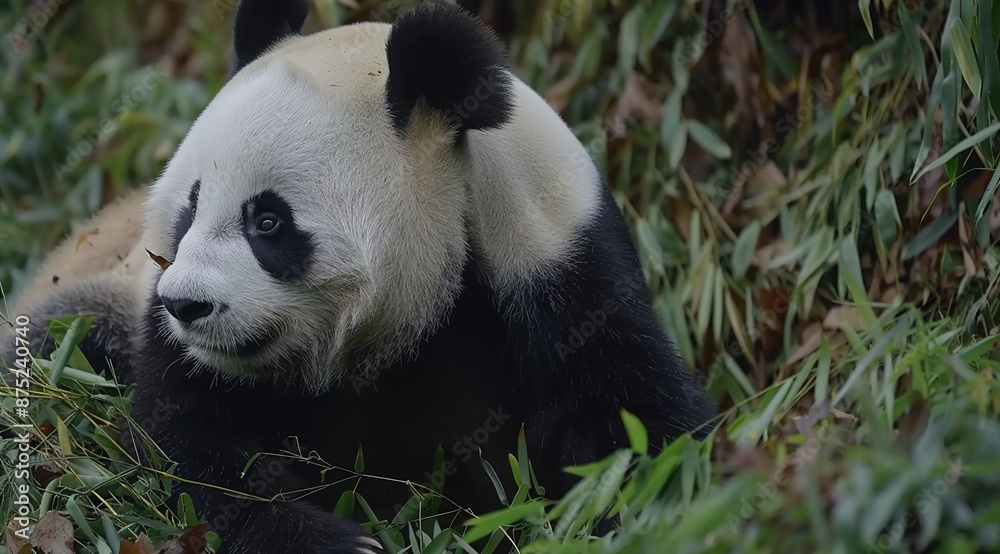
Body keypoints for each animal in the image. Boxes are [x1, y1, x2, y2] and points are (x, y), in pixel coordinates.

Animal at [3, 1, 717, 552]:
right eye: (189, 207)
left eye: (268, 221)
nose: (187, 305)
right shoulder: (159, 331)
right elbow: (188, 452)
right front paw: (343, 540)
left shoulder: (558, 270)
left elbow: (628, 427)